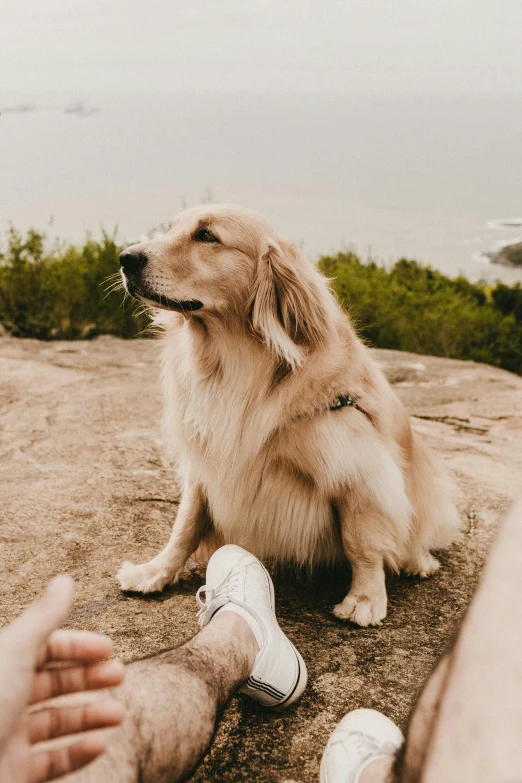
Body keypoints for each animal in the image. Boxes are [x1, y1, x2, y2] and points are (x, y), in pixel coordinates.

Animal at [116, 205, 458, 628]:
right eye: (169, 229)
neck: (236, 364)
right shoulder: (206, 461)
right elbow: (185, 524)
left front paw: (364, 597)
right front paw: (155, 571)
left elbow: (361, 539)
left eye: (207, 236)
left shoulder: (358, 466)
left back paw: (417, 560)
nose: (125, 258)